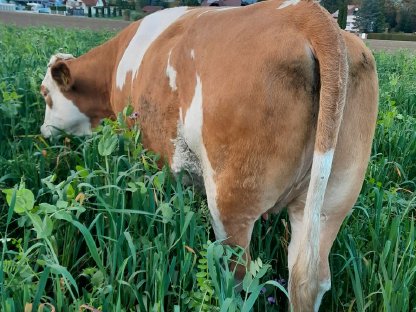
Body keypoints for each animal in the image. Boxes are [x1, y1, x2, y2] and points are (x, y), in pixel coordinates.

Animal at [40, 1, 378, 310]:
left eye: (45, 93)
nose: (43, 131)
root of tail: (307, 14)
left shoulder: (148, 152)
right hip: (331, 203)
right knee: (307, 278)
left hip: (231, 201)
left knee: (239, 276)